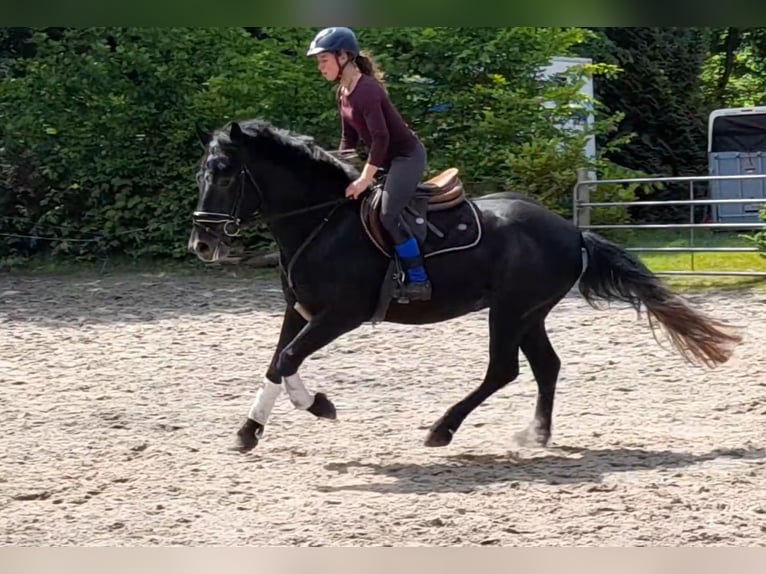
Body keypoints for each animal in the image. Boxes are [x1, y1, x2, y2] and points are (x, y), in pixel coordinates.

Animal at [188, 118, 743, 453]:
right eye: (202, 174)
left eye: (226, 173)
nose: (202, 244)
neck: (322, 221)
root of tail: (571, 230)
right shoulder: (299, 310)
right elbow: (277, 364)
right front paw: (248, 432)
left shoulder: (339, 316)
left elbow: (287, 361)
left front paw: (319, 406)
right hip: (528, 314)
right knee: (545, 366)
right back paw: (537, 434)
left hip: (510, 312)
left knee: (503, 370)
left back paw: (442, 429)